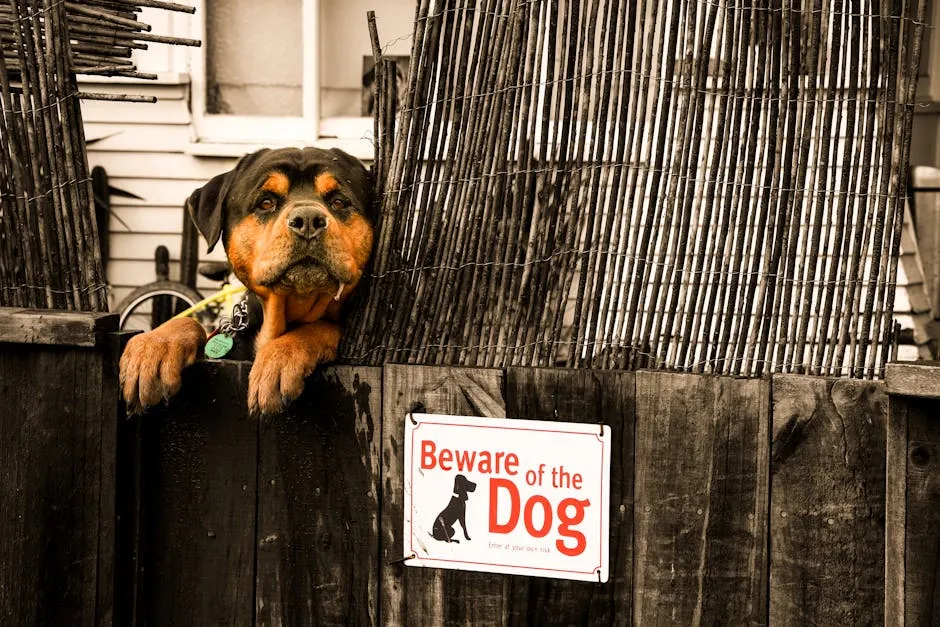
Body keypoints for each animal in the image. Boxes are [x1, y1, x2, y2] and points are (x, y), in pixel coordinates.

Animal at [120, 147, 374, 418]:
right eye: (266, 202)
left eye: (339, 201)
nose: (308, 219)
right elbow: (188, 322)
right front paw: (153, 348)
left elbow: (319, 326)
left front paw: (279, 358)